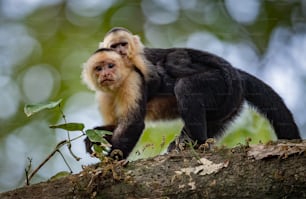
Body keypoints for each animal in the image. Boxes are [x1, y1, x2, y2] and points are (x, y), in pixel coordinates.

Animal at [85, 27, 300, 159]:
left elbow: (133, 124)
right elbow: (114, 125)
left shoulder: (133, 78)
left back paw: (195, 142)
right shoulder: (103, 96)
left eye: (111, 65)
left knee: (185, 86)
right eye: (99, 68)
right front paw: (93, 138)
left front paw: (111, 163)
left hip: (219, 85)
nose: (106, 74)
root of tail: (238, 75)